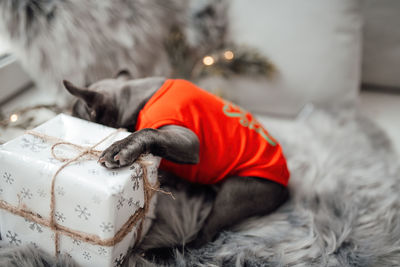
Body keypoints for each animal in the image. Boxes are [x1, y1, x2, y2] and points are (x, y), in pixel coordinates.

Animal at [62, 71, 290, 249]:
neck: (139, 96)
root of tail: (286, 182)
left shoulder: (188, 140)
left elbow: (149, 130)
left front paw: (121, 146)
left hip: (236, 192)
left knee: (204, 236)